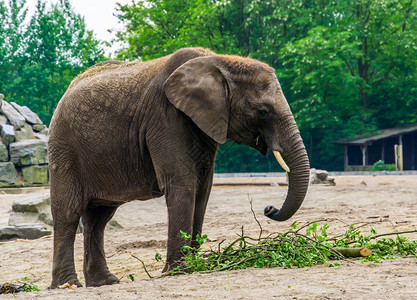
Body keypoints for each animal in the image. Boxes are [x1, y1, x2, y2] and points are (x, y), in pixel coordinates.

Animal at [48, 47, 308, 288]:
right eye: (263, 112)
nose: (269, 208)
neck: (219, 61)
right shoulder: (165, 117)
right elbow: (183, 185)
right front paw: (179, 271)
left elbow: (203, 189)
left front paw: (195, 265)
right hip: (64, 148)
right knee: (69, 212)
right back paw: (68, 285)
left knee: (99, 217)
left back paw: (105, 282)